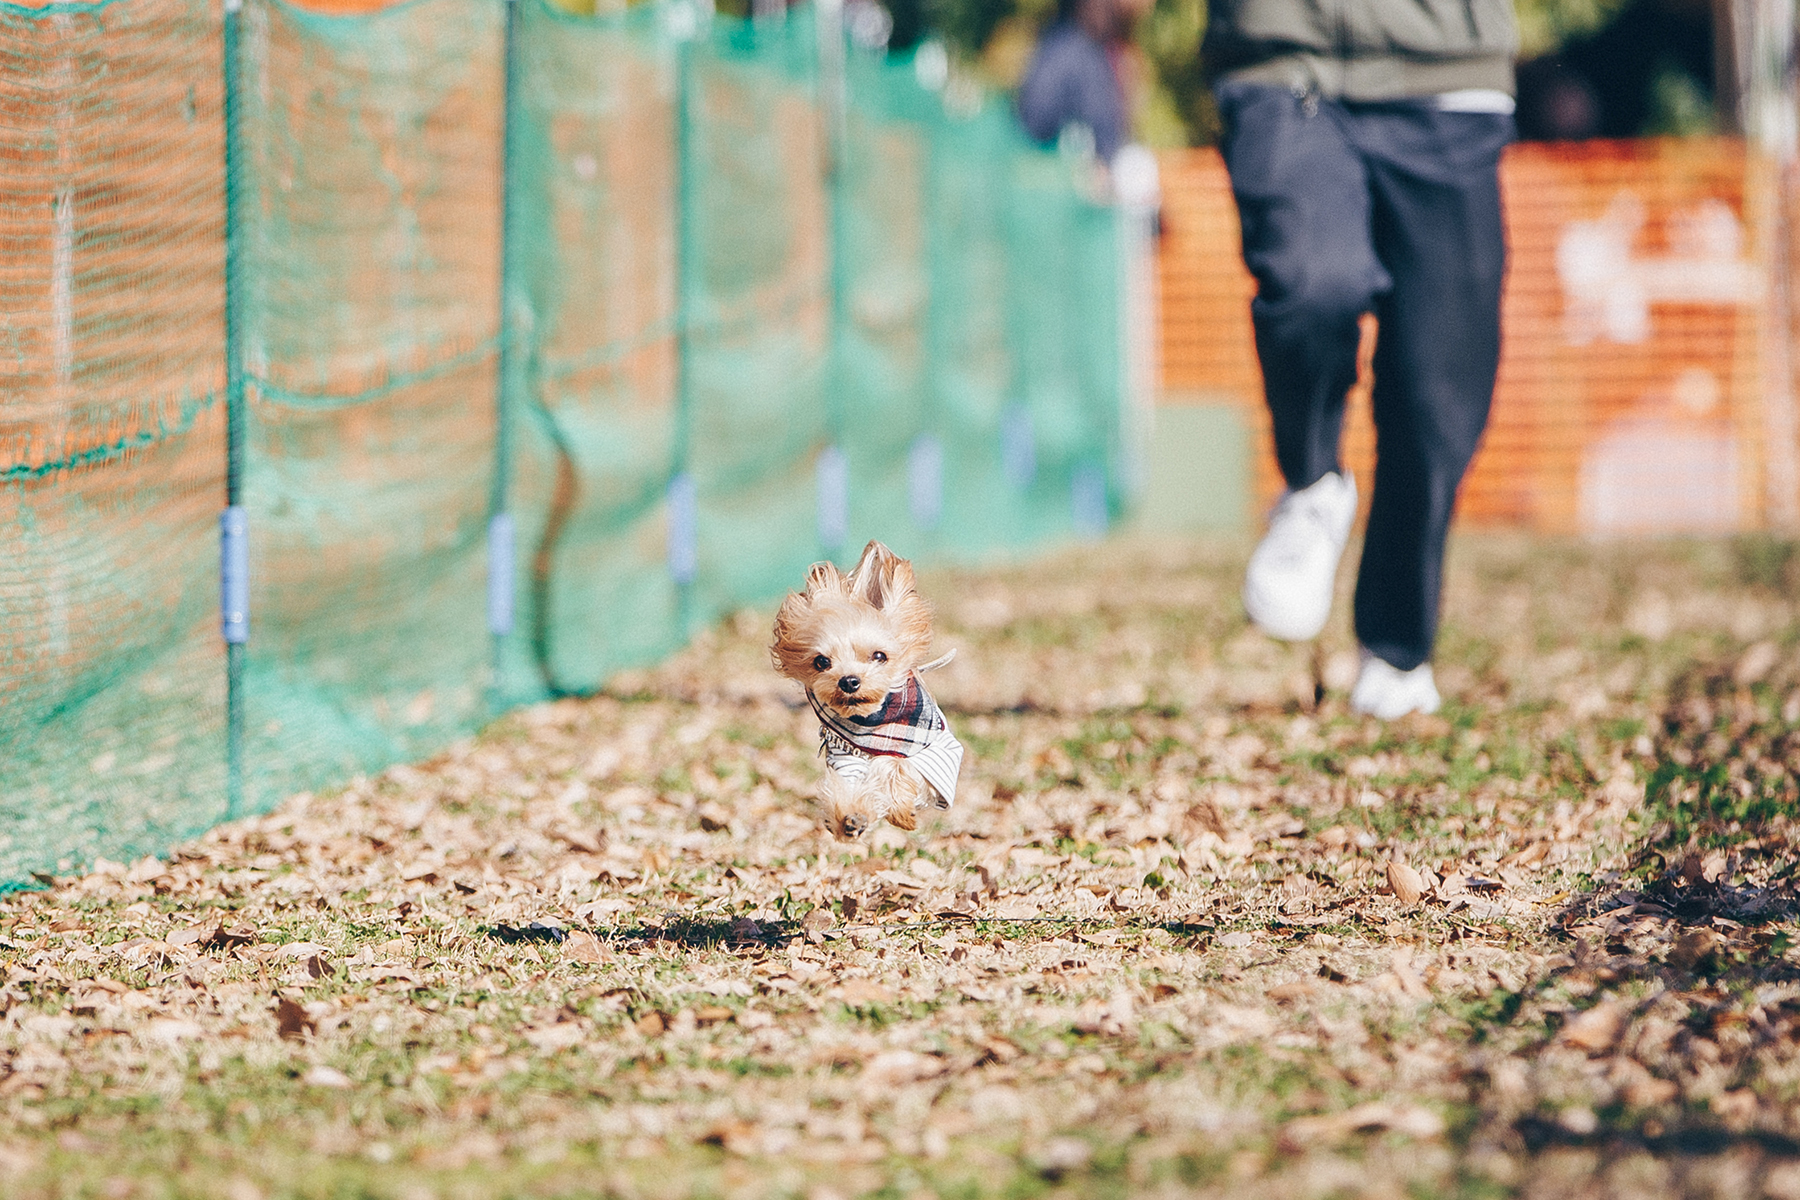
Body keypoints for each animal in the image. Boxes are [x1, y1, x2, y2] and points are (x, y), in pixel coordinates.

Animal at [777, 539, 972, 841]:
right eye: (821, 662)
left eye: (879, 656)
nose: (849, 681)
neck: (874, 721)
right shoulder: (843, 757)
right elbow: (845, 787)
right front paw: (850, 818)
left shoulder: (940, 759)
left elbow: (894, 764)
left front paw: (897, 808)